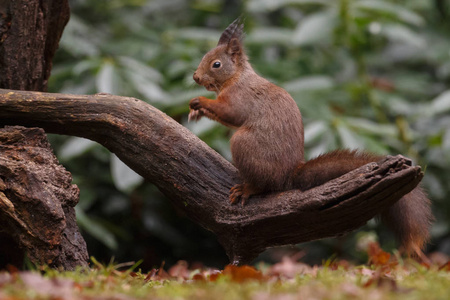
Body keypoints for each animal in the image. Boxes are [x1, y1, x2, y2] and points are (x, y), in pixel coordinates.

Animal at [187, 18, 432, 256]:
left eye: (216, 64)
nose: (196, 77)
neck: (237, 77)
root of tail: (288, 176)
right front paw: (196, 112)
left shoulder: (240, 98)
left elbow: (230, 113)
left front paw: (199, 101)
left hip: (242, 144)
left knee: (264, 185)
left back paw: (248, 188)